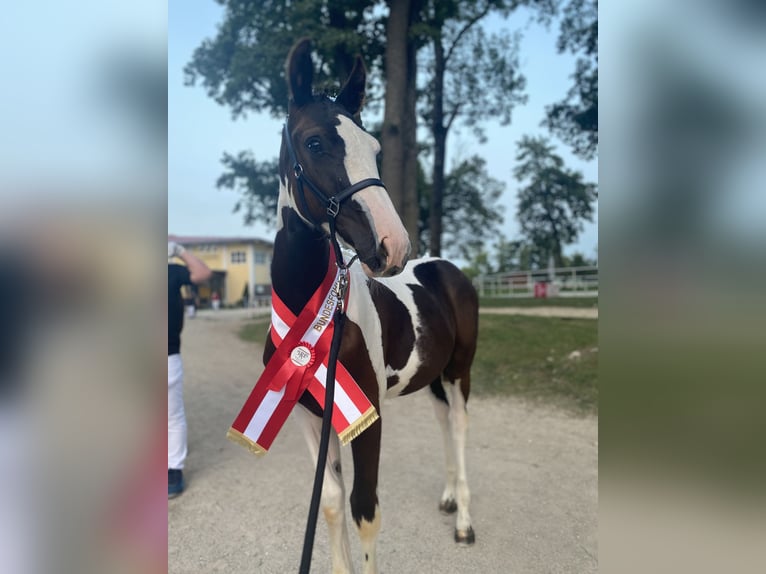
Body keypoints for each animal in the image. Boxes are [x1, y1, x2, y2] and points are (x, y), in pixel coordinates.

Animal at [268, 38, 476, 572]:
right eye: (314, 143)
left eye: (376, 149)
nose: (393, 244)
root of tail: (443, 266)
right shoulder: (309, 416)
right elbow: (331, 502)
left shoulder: (366, 415)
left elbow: (365, 509)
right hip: (433, 376)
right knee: (443, 422)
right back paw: (449, 499)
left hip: (459, 371)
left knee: (459, 427)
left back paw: (465, 522)